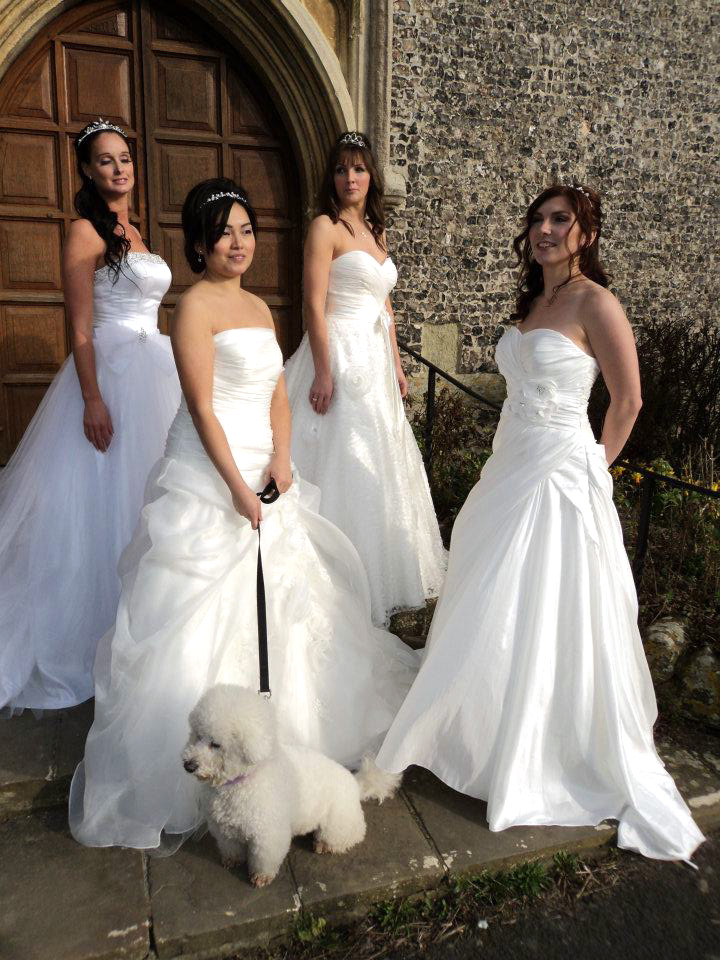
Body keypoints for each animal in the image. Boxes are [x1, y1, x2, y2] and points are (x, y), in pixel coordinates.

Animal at [182, 684, 400, 886]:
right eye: (198, 736)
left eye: (215, 744)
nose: (188, 765)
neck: (240, 780)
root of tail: (355, 782)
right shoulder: (223, 827)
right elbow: (231, 847)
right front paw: (232, 860)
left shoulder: (268, 833)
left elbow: (264, 859)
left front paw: (261, 877)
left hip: (338, 820)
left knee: (351, 836)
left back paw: (324, 844)